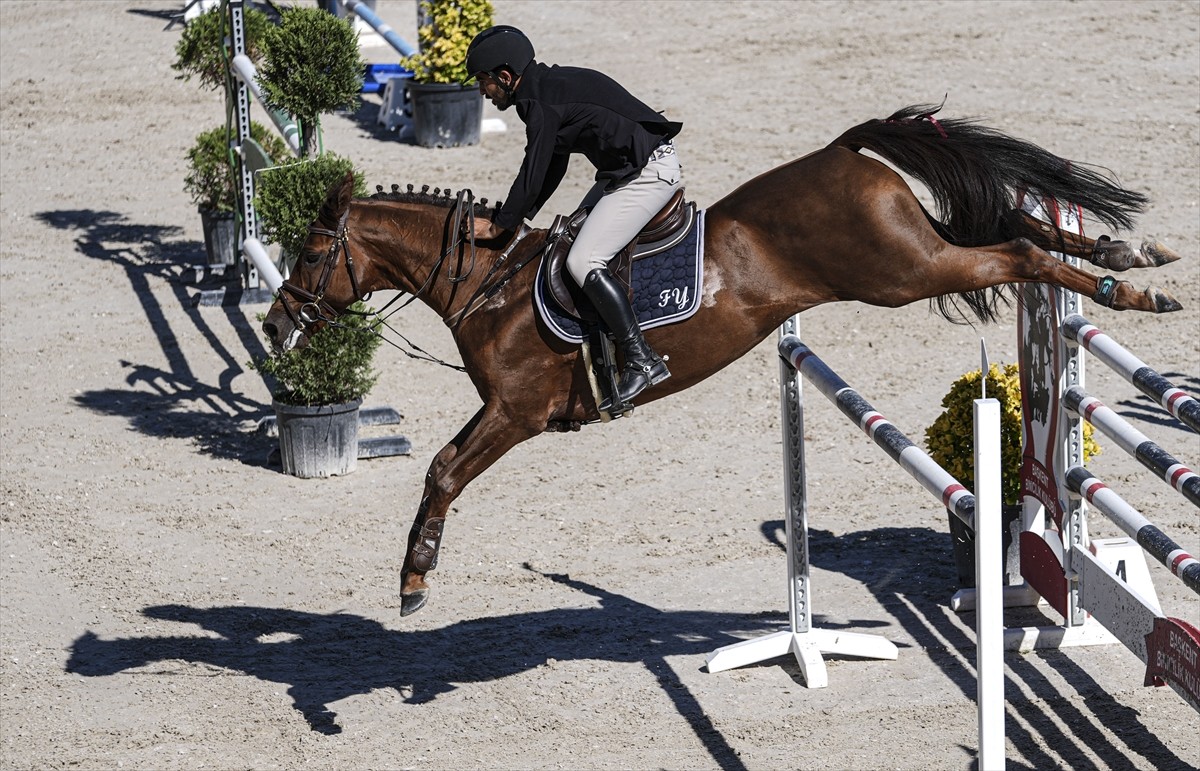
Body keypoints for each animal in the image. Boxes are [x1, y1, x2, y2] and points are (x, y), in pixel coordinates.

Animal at [260, 105, 1180, 614]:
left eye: (310, 252)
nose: (274, 327)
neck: (487, 281)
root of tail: (844, 151)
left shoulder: (515, 412)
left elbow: (444, 472)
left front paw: (414, 584)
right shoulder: (504, 412)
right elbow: (440, 469)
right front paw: (412, 578)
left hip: (901, 271)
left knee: (1016, 251)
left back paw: (1125, 289)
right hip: (915, 253)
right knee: (1015, 227)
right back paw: (1133, 257)